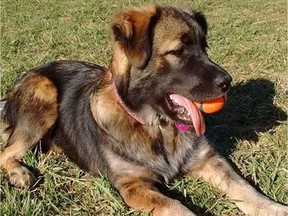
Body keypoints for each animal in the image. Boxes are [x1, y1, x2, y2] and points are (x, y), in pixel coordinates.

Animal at [0, 5, 288, 216]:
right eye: (178, 51)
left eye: (204, 48)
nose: (227, 82)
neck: (157, 127)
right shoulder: (134, 185)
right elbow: (177, 206)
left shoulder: (208, 159)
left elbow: (244, 187)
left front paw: (275, 208)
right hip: (45, 91)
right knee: (6, 152)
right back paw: (20, 173)